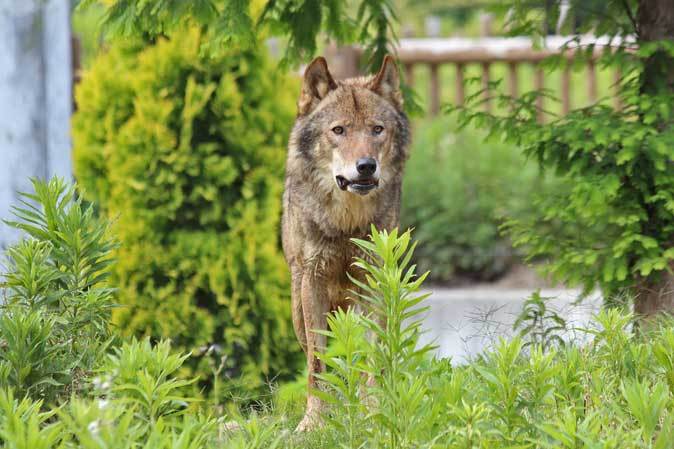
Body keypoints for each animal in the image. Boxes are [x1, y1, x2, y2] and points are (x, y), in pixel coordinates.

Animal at [280, 55, 410, 430]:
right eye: (338, 130)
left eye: (377, 130)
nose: (366, 166)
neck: (345, 223)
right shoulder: (313, 282)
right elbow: (316, 364)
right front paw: (314, 423)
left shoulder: (374, 281)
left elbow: (371, 357)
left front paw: (372, 414)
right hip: (298, 309)